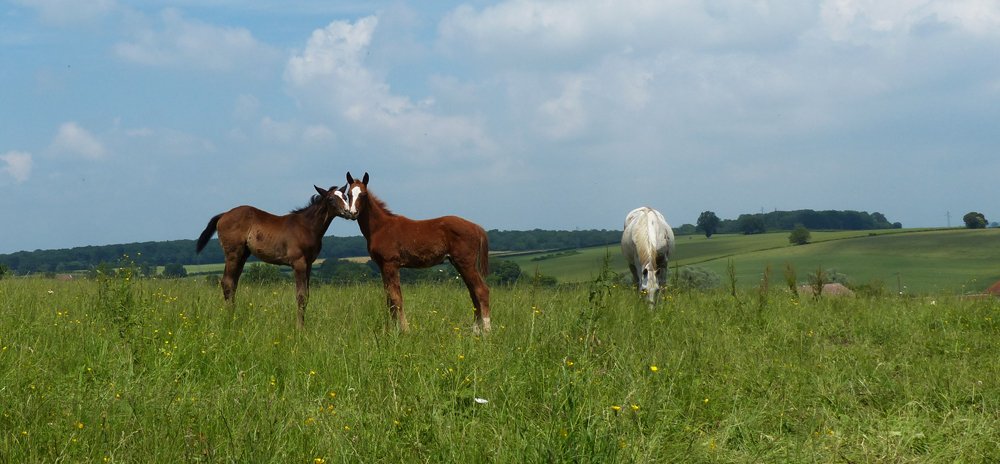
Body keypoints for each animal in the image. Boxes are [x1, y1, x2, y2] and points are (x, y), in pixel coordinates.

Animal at [195, 184, 351, 328]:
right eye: (331, 199)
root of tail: (223, 215)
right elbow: (300, 296)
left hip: (243, 255)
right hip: (233, 254)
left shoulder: (309, 264)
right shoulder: (299, 263)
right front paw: (299, 328)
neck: (307, 227)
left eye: (345, 197)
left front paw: (303, 326)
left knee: (233, 284)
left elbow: (307, 296)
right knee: (227, 283)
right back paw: (230, 320)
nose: (348, 212)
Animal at [342, 172, 491, 333]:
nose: (352, 213)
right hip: (460, 264)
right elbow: (389, 299)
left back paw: (487, 331)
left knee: (482, 290)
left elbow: (396, 298)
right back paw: (475, 331)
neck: (381, 227)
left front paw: (404, 329)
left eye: (363, 194)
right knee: (473, 292)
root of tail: (476, 227)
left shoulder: (390, 264)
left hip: (466, 263)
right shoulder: (382, 266)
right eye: (348, 194)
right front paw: (392, 329)